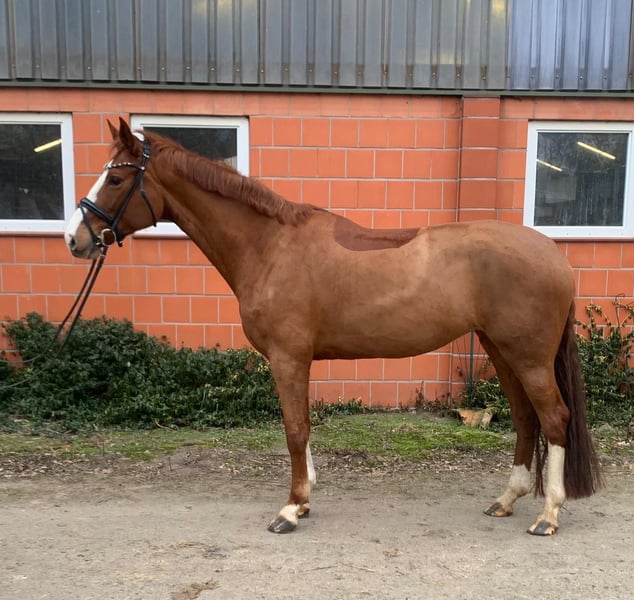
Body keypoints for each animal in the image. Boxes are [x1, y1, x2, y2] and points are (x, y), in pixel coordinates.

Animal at [65, 118, 603, 536]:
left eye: (116, 180)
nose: (75, 239)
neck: (269, 246)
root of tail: (554, 253)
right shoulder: (296, 360)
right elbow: (302, 428)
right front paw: (304, 500)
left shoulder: (287, 358)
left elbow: (294, 429)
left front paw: (290, 509)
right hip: (500, 350)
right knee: (526, 419)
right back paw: (507, 500)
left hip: (528, 356)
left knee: (554, 418)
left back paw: (548, 515)